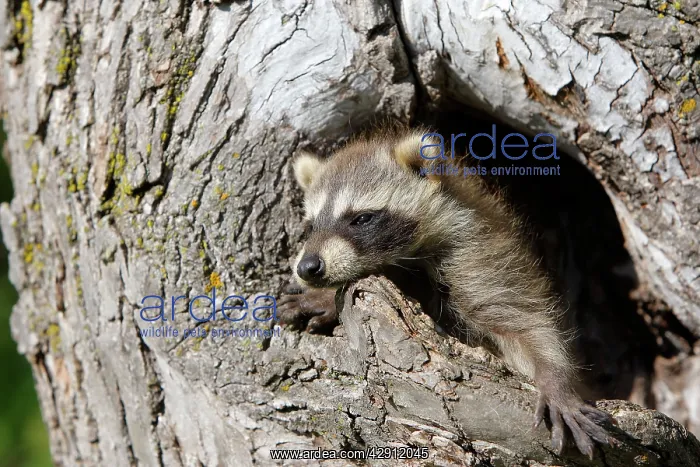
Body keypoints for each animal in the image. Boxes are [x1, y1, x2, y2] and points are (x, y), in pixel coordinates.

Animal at [278, 129, 614, 458]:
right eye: (310, 227)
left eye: (361, 219)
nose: (308, 267)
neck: (408, 259)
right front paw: (324, 299)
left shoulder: (479, 258)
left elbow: (527, 324)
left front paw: (555, 380)